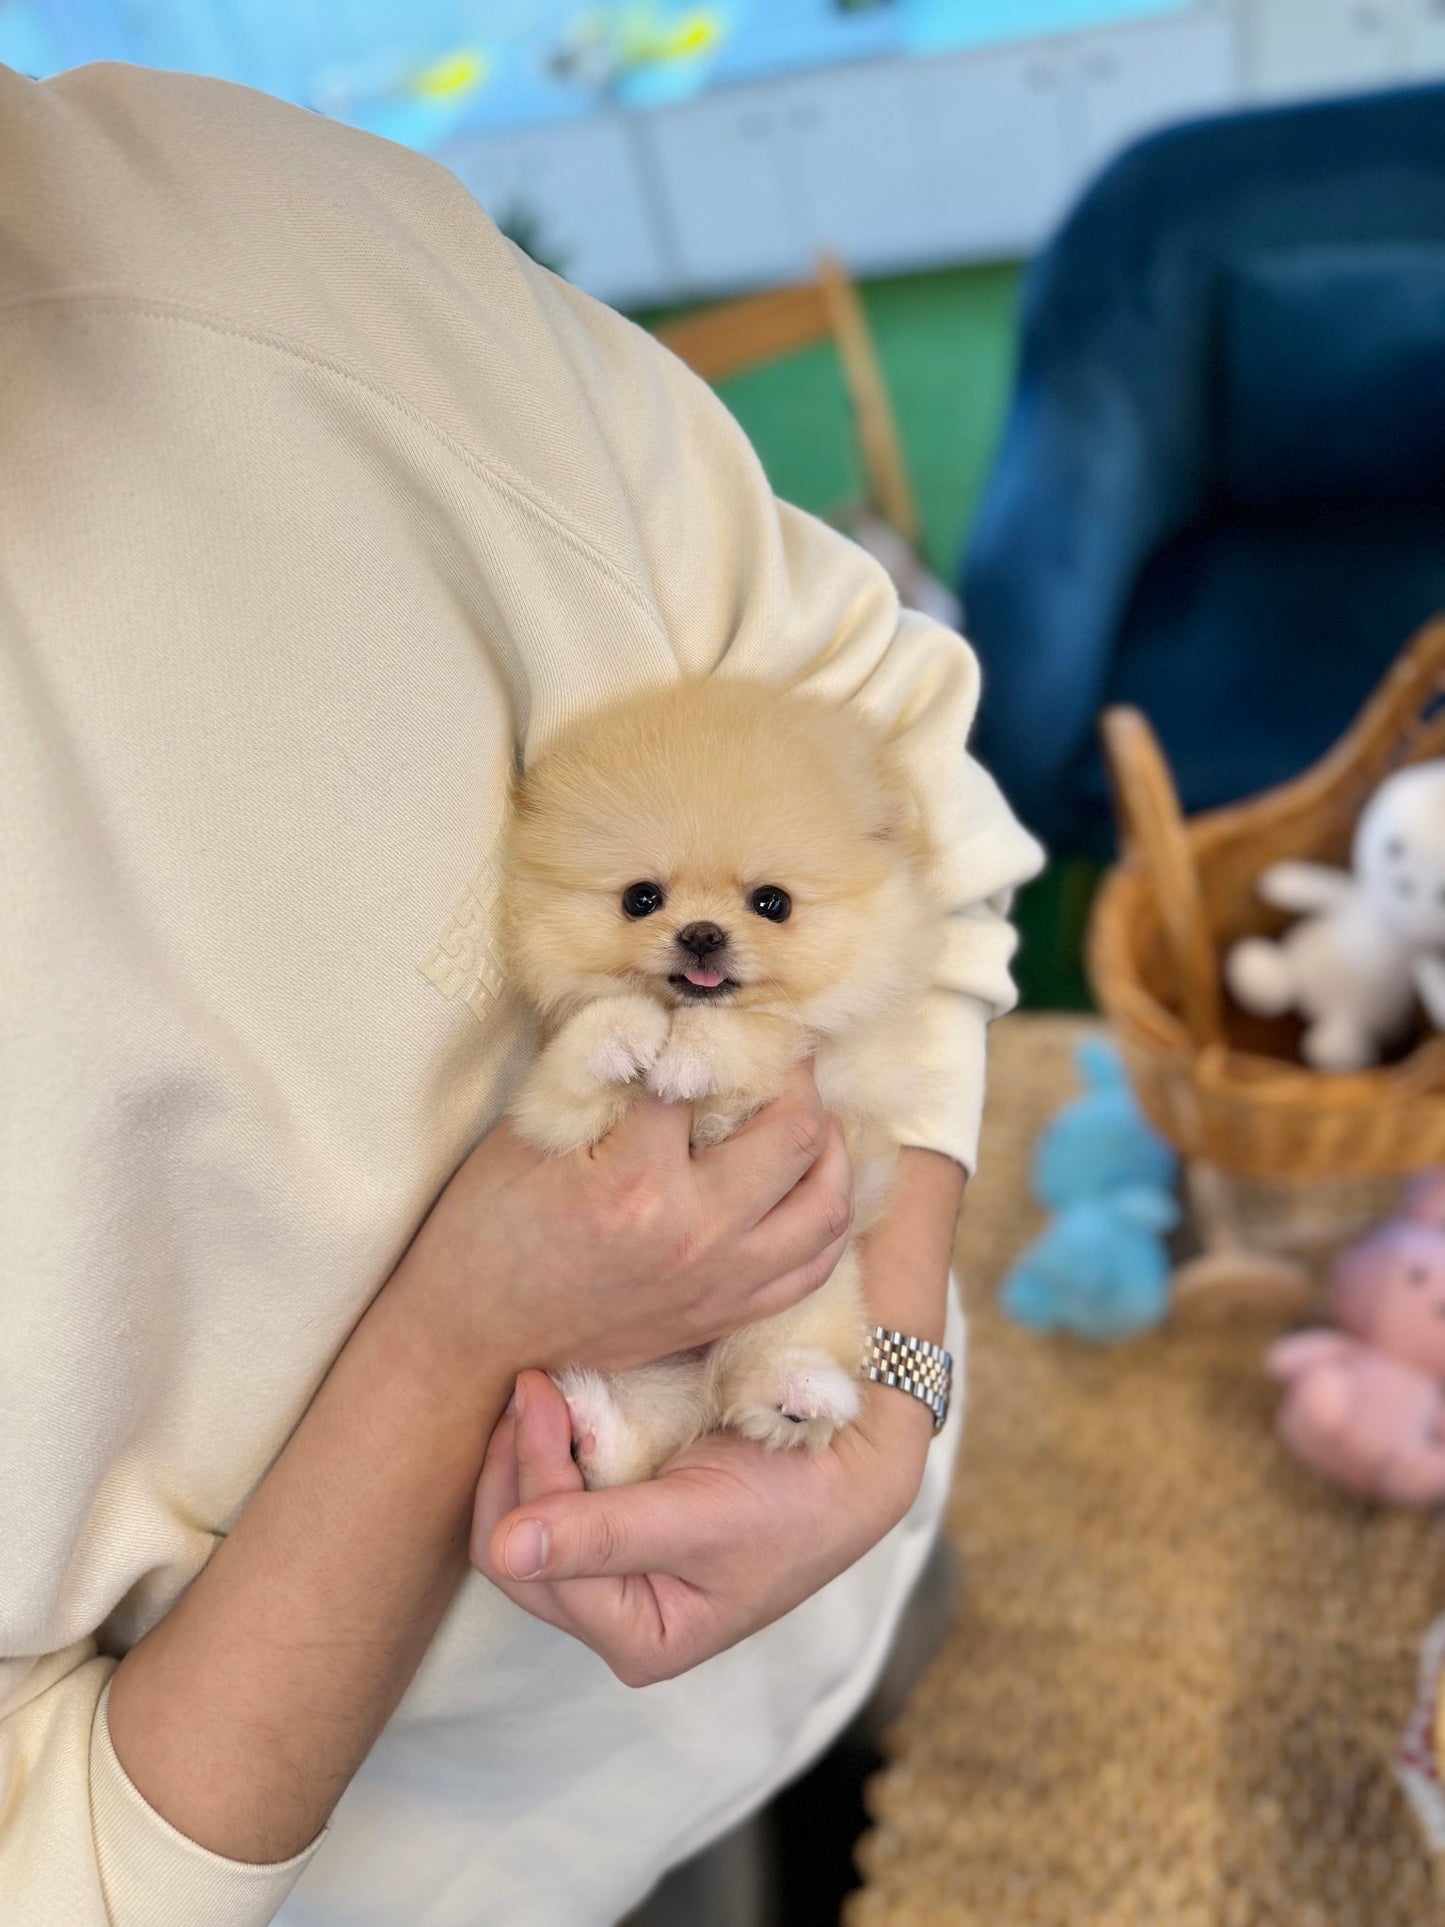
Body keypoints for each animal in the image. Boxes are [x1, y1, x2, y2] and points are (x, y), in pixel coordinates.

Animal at [504, 678, 944, 1487]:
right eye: (640, 898)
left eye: (772, 902)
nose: (702, 933)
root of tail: (699, 1372)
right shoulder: (555, 1118)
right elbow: (576, 1062)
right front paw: (629, 1032)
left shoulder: (834, 1062)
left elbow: (766, 1031)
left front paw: (689, 1056)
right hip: (649, 1364)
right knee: (635, 1447)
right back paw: (589, 1426)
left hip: (809, 1291)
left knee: (761, 1384)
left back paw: (800, 1393)